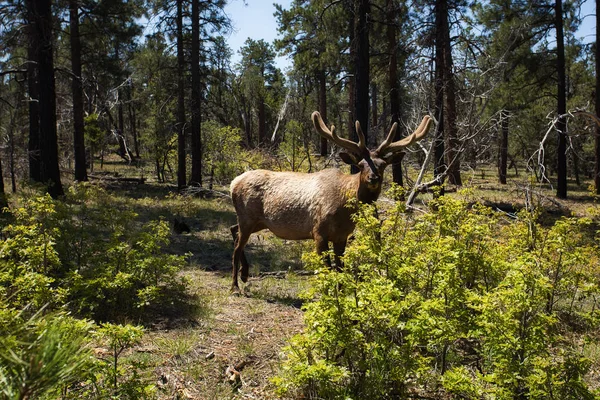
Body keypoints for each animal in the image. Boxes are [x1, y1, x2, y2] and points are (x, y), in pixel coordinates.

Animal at [226, 111, 432, 292]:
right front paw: (327, 294)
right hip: (248, 218)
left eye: (383, 165)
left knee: (233, 230)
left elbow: (340, 267)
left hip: (258, 222)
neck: (344, 210)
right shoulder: (318, 232)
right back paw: (235, 286)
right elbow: (326, 268)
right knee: (236, 247)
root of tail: (233, 182)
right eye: (360, 165)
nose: (373, 178)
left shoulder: (342, 236)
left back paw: (245, 275)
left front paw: (340, 292)